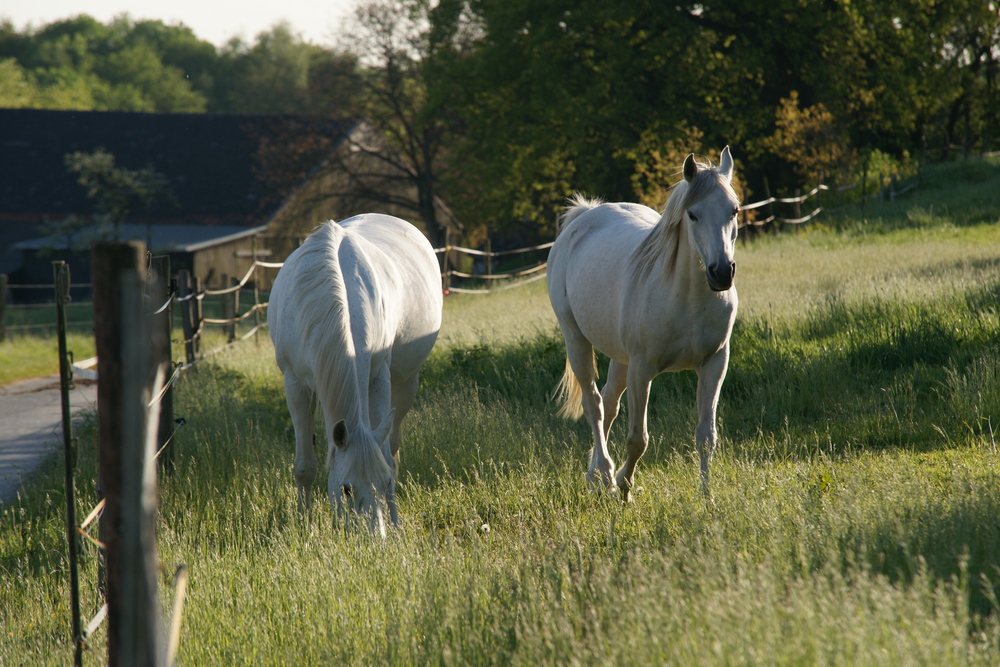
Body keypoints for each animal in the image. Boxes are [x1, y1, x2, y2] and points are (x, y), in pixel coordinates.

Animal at [266, 215, 442, 536]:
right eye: (346, 489)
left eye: (384, 483)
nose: (374, 538)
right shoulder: (295, 384)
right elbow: (305, 466)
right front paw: (304, 526)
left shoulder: (379, 378)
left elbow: (386, 457)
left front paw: (395, 523)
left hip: (405, 384)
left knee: (393, 445)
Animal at [548, 146, 744, 500]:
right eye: (693, 215)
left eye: (734, 210)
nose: (722, 272)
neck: (687, 299)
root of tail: (584, 215)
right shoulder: (642, 370)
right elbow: (638, 439)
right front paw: (625, 488)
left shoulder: (714, 363)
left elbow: (706, 436)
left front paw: (707, 497)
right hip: (576, 341)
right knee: (594, 404)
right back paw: (604, 473)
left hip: (620, 357)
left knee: (609, 402)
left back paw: (595, 474)